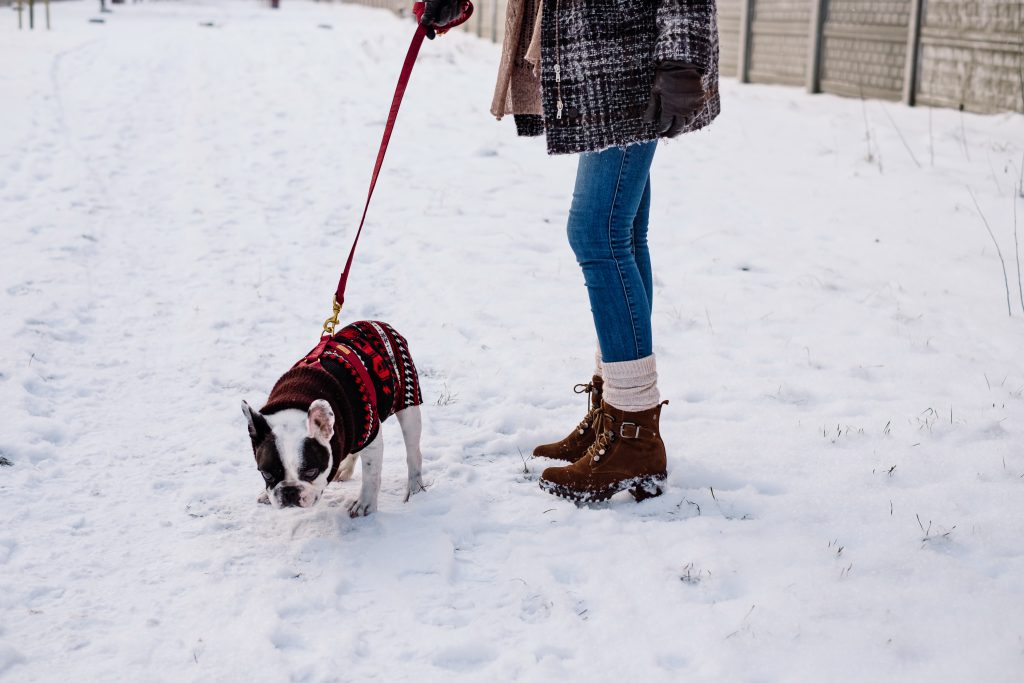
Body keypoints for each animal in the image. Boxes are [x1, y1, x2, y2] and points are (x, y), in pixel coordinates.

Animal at [242, 319, 423, 511]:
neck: (295, 399)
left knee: (413, 452)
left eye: (311, 472)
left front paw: (364, 504)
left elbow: (371, 475)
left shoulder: (371, 435)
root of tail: (377, 323)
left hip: (407, 407)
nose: (290, 491)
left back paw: (415, 488)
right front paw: (266, 494)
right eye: (266, 474)